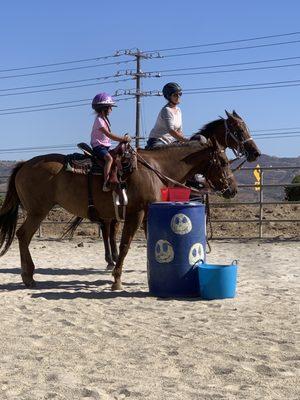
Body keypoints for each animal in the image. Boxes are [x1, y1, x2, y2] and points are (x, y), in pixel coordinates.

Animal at [0, 139, 238, 290]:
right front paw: (116, 279)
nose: (232, 189)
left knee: (22, 236)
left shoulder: (148, 214)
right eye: (224, 162)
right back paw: (28, 277)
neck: (154, 169)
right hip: (37, 212)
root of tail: (24, 164)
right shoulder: (136, 213)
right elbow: (125, 244)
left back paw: (28, 276)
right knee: (23, 236)